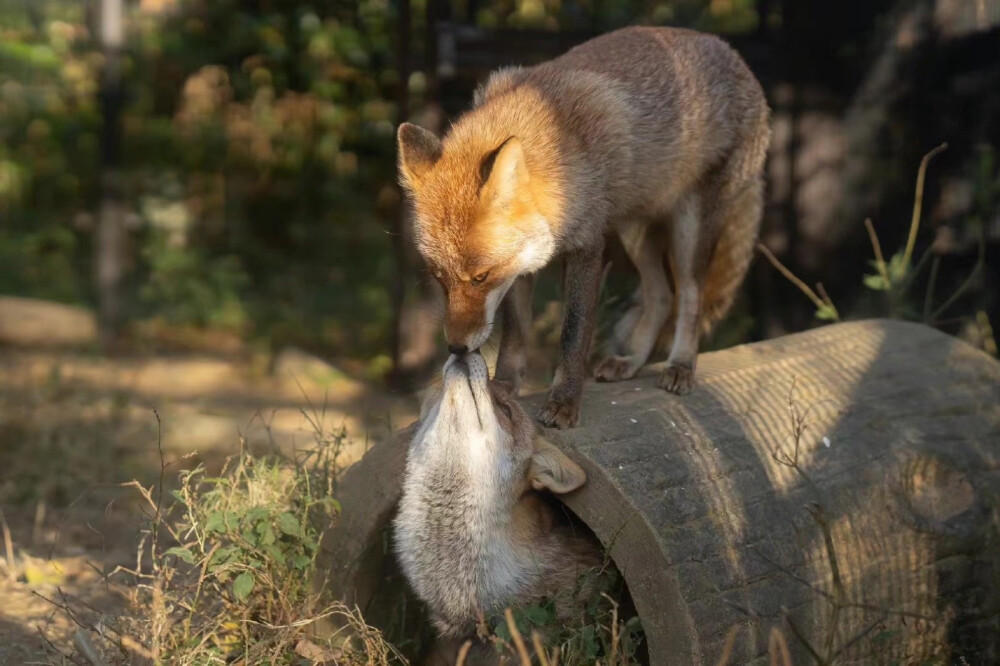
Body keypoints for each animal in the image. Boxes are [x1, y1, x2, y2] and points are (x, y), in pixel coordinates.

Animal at [394, 26, 768, 428]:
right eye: (439, 278)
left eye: (480, 277)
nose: (456, 346)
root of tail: (739, 60)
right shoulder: (522, 266)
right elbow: (514, 334)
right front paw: (504, 389)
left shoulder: (588, 247)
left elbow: (573, 334)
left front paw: (564, 402)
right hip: (634, 231)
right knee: (660, 295)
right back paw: (631, 363)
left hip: (688, 230)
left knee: (689, 296)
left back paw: (681, 364)